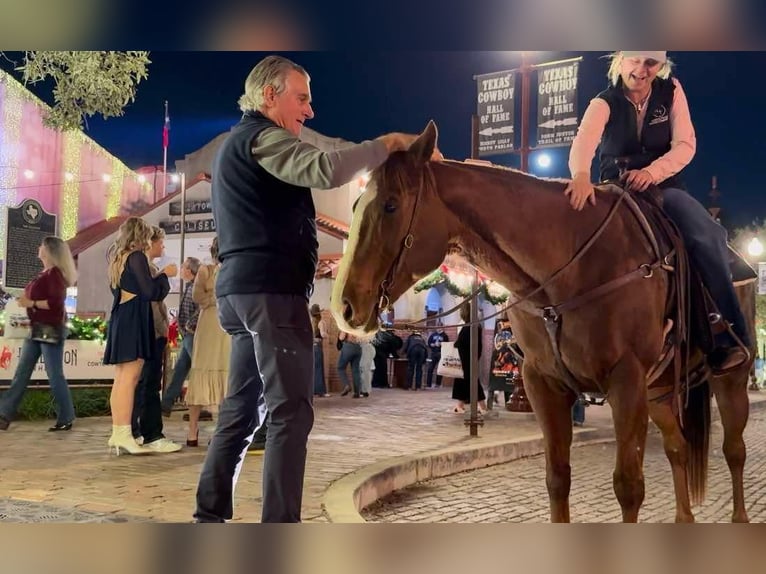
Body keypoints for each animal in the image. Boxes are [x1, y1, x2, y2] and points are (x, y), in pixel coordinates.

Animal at [334, 122, 756, 528]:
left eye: (391, 205)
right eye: (355, 204)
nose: (345, 305)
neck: (571, 267)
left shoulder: (627, 381)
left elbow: (629, 487)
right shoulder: (543, 383)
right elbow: (557, 478)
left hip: (727, 379)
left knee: (734, 450)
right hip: (660, 391)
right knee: (677, 448)